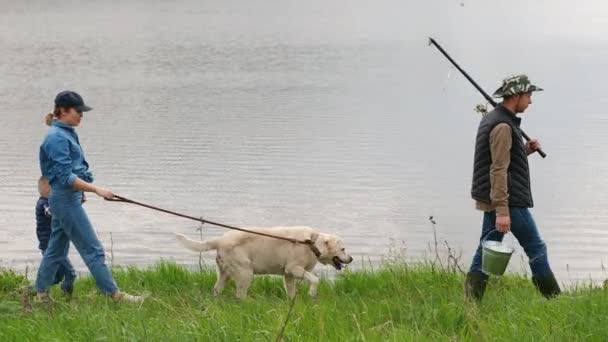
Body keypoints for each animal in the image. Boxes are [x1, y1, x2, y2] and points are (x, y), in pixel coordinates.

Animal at [175, 227, 352, 300]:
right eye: (343, 249)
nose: (351, 259)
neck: (311, 243)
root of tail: (220, 240)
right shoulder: (294, 268)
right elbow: (315, 279)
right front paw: (312, 293)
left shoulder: (288, 275)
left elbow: (291, 291)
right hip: (245, 273)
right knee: (240, 294)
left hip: (224, 274)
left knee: (217, 290)